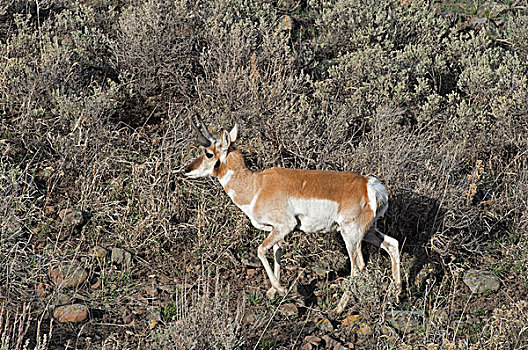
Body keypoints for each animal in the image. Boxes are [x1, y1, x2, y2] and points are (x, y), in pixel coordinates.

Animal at [185, 116, 400, 304]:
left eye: (209, 153)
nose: (186, 169)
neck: (257, 185)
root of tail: (370, 185)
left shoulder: (285, 226)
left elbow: (261, 250)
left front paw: (280, 289)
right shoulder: (276, 231)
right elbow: (277, 252)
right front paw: (273, 291)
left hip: (351, 234)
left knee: (358, 266)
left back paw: (340, 307)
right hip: (369, 230)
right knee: (392, 245)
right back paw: (396, 296)